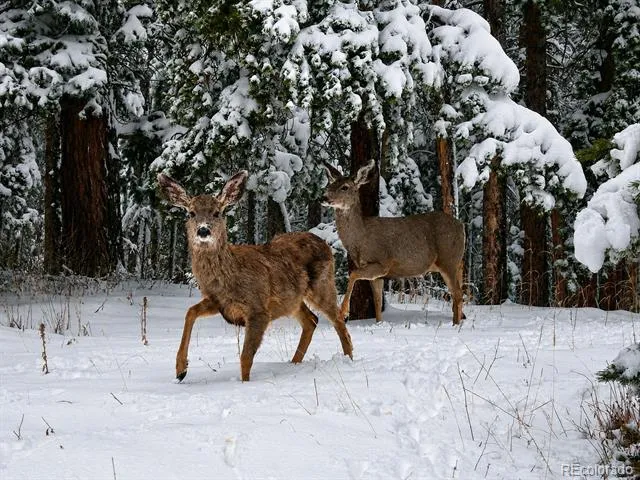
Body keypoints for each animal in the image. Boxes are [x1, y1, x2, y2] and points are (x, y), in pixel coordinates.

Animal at [157, 171, 353, 382]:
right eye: (191, 213)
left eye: (217, 212)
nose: (203, 230)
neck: (229, 276)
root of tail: (324, 243)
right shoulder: (219, 302)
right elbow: (190, 312)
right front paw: (180, 370)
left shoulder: (258, 309)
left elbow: (245, 357)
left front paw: (245, 384)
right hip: (292, 300)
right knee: (312, 320)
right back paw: (294, 363)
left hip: (322, 285)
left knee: (338, 319)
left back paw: (349, 359)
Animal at [322, 160, 466, 325]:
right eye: (329, 186)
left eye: (345, 187)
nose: (323, 197)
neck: (360, 239)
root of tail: (461, 225)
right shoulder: (376, 275)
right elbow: (377, 302)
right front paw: (379, 323)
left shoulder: (383, 262)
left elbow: (353, 274)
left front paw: (343, 312)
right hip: (454, 261)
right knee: (459, 285)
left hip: (448, 259)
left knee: (458, 294)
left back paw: (455, 324)